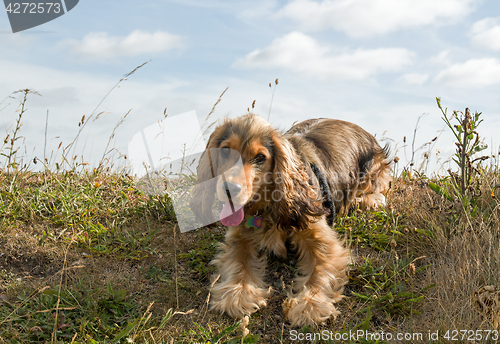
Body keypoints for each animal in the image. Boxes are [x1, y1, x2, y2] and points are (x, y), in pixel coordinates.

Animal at [190, 114, 390, 326]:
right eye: (226, 150)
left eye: (260, 157)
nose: (230, 189)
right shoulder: (239, 236)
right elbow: (238, 262)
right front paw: (237, 294)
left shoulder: (323, 240)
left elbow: (320, 272)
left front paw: (310, 305)